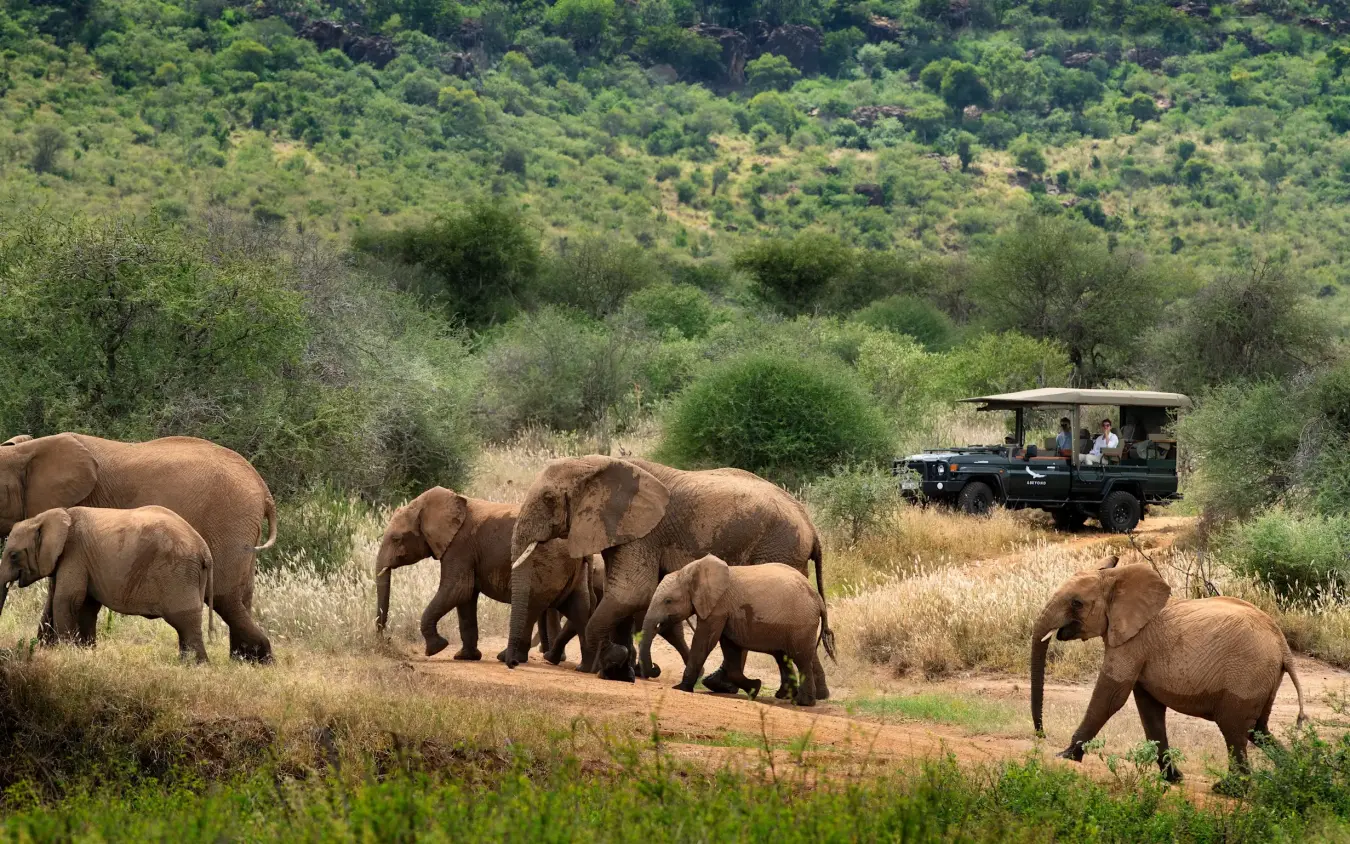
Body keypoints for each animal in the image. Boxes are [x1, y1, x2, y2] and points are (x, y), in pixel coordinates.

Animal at [0, 506, 213, 662]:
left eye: (14, 555)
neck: (45, 518)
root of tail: (204, 550)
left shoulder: (74, 554)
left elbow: (67, 600)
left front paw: (66, 652)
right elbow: (78, 605)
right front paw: (84, 651)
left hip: (179, 573)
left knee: (185, 621)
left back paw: (197, 666)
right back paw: (186, 664)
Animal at [374, 487, 593, 666]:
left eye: (396, 539)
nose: (384, 638)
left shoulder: (459, 546)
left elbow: (457, 590)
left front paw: (436, 648)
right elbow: (466, 598)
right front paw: (465, 657)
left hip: (548, 565)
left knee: (532, 606)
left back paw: (508, 658)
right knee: (576, 608)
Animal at [509, 456, 824, 684]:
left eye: (549, 499)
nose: (512, 664)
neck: (598, 465)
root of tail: (811, 526)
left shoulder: (645, 533)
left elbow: (631, 593)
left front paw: (612, 663)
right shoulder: (623, 530)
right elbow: (622, 596)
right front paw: (621, 670)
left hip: (778, 547)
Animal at [641, 555, 835, 706]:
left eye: (668, 601)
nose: (654, 668)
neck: (692, 571)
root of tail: (818, 599)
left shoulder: (718, 607)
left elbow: (704, 643)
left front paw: (681, 688)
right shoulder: (728, 613)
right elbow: (730, 649)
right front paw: (755, 688)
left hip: (801, 624)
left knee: (800, 658)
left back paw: (803, 702)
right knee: (784, 658)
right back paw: (786, 696)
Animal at [1031, 555, 1308, 784]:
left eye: (1076, 603)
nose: (1041, 735)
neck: (1116, 579)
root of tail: (1283, 647)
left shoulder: (1134, 642)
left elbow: (1111, 696)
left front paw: (1064, 756)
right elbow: (1149, 709)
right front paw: (1173, 778)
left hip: (1247, 674)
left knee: (1234, 728)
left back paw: (1229, 789)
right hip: (1261, 678)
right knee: (1256, 730)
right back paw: (1290, 774)